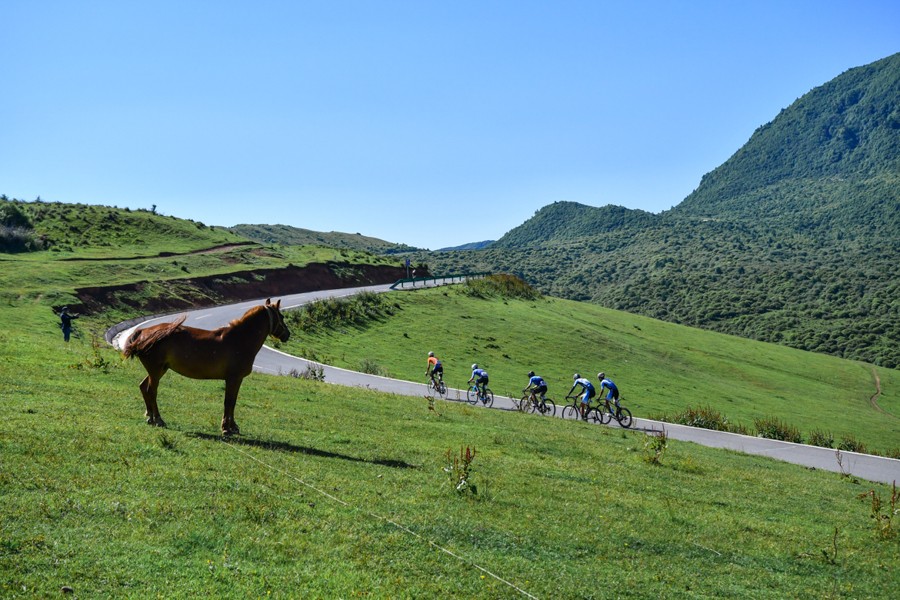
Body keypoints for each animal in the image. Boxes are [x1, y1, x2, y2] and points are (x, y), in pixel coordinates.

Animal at [121, 298, 290, 434]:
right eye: (281, 316)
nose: (287, 334)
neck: (240, 339)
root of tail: (143, 332)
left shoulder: (236, 380)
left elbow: (233, 402)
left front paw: (233, 426)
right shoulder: (233, 379)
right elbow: (229, 401)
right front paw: (226, 428)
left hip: (159, 370)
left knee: (144, 387)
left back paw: (150, 417)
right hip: (156, 371)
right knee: (151, 391)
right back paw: (158, 419)